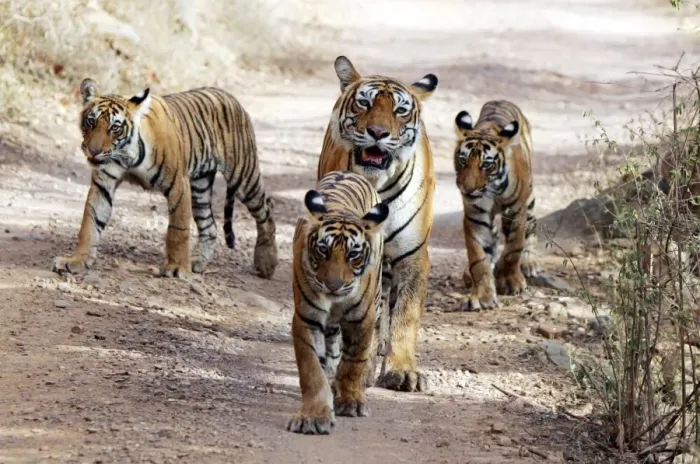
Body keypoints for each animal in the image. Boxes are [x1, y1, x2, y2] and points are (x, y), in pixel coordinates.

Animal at [52, 78, 278, 279]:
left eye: (115, 128)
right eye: (91, 121)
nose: (93, 151)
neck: (127, 155)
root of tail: (230, 96)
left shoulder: (179, 185)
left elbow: (178, 229)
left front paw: (177, 268)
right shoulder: (103, 185)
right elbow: (90, 223)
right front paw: (76, 261)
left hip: (243, 176)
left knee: (266, 212)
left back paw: (267, 262)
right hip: (200, 186)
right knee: (210, 226)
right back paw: (197, 262)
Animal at [287, 170, 389, 435]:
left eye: (353, 254)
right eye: (323, 250)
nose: (333, 285)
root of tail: (350, 172)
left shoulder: (362, 320)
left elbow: (353, 362)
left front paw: (351, 400)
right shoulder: (307, 318)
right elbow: (312, 369)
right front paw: (314, 416)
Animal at [317, 56, 437, 393]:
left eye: (400, 109)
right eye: (364, 103)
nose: (378, 132)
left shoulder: (413, 254)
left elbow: (405, 316)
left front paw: (401, 371)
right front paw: (362, 367)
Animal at [453, 100, 540, 311]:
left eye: (486, 165)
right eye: (462, 161)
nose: (468, 189)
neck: (494, 190)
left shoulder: (517, 211)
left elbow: (513, 249)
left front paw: (511, 281)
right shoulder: (477, 215)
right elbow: (479, 259)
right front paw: (483, 296)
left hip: (529, 200)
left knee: (530, 230)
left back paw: (529, 263)